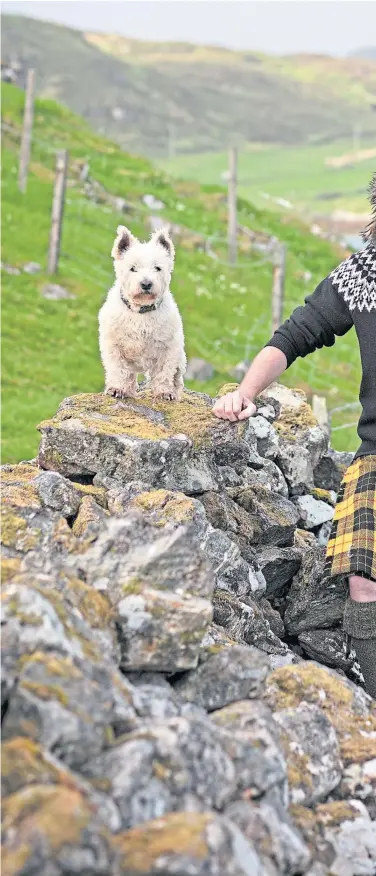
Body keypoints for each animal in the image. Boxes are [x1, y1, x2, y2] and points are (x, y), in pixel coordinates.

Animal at [98, 226, 187, 404]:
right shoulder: (114, 345)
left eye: (157, 268)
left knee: (176, 378)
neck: (140, 311)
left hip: (180, 358)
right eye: (133, 268)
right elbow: (119, 369)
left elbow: (164, 373)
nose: (146, 284)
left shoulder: (168, 347)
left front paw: (164, 393)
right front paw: (117, 389)